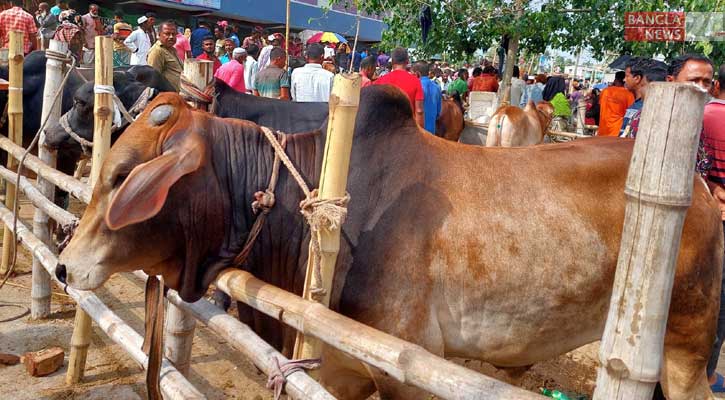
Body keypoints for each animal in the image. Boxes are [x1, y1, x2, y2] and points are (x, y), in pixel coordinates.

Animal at [58, 88, 724, 400]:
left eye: (123, 177)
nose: (64, 266)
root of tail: (698, 187)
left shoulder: (407, 370)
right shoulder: (337, 371)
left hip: (684, 350)